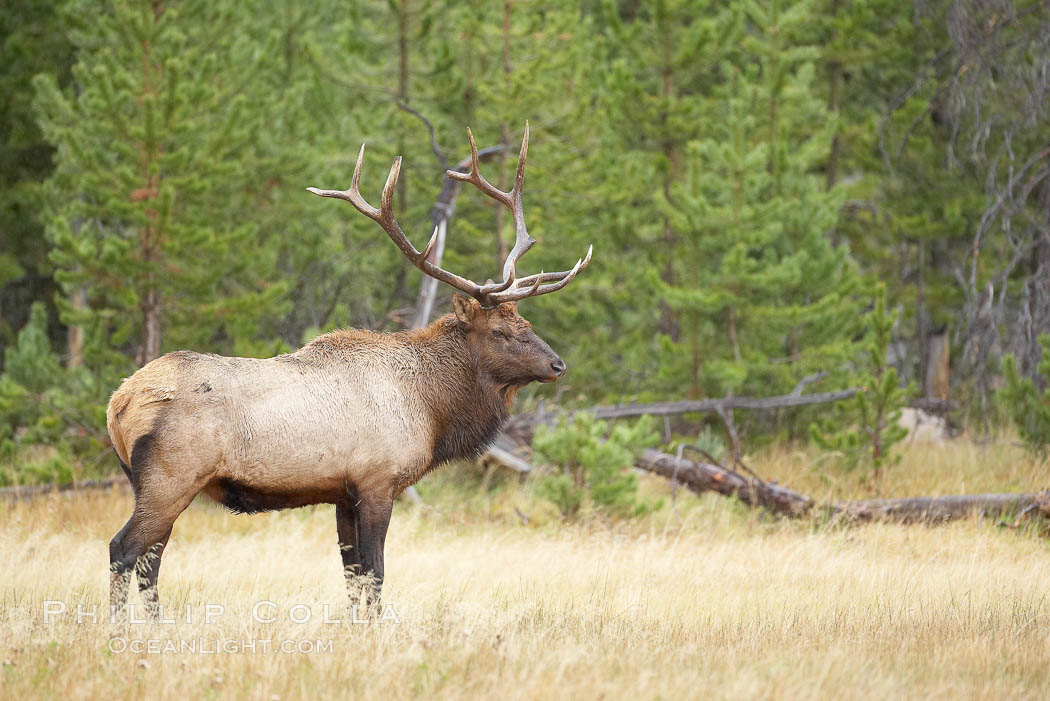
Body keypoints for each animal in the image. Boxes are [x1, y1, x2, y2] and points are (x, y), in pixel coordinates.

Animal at [110, 124, 596, 612]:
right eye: (500, 331)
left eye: (526, 323)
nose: (557, 365)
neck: (432, 410)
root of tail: (119, 402)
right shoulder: (378, 481)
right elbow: (375, 572)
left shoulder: (342, 494)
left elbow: (351, 575)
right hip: (170, 477)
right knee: (124, 549)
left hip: (151, 483)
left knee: (151, 559)